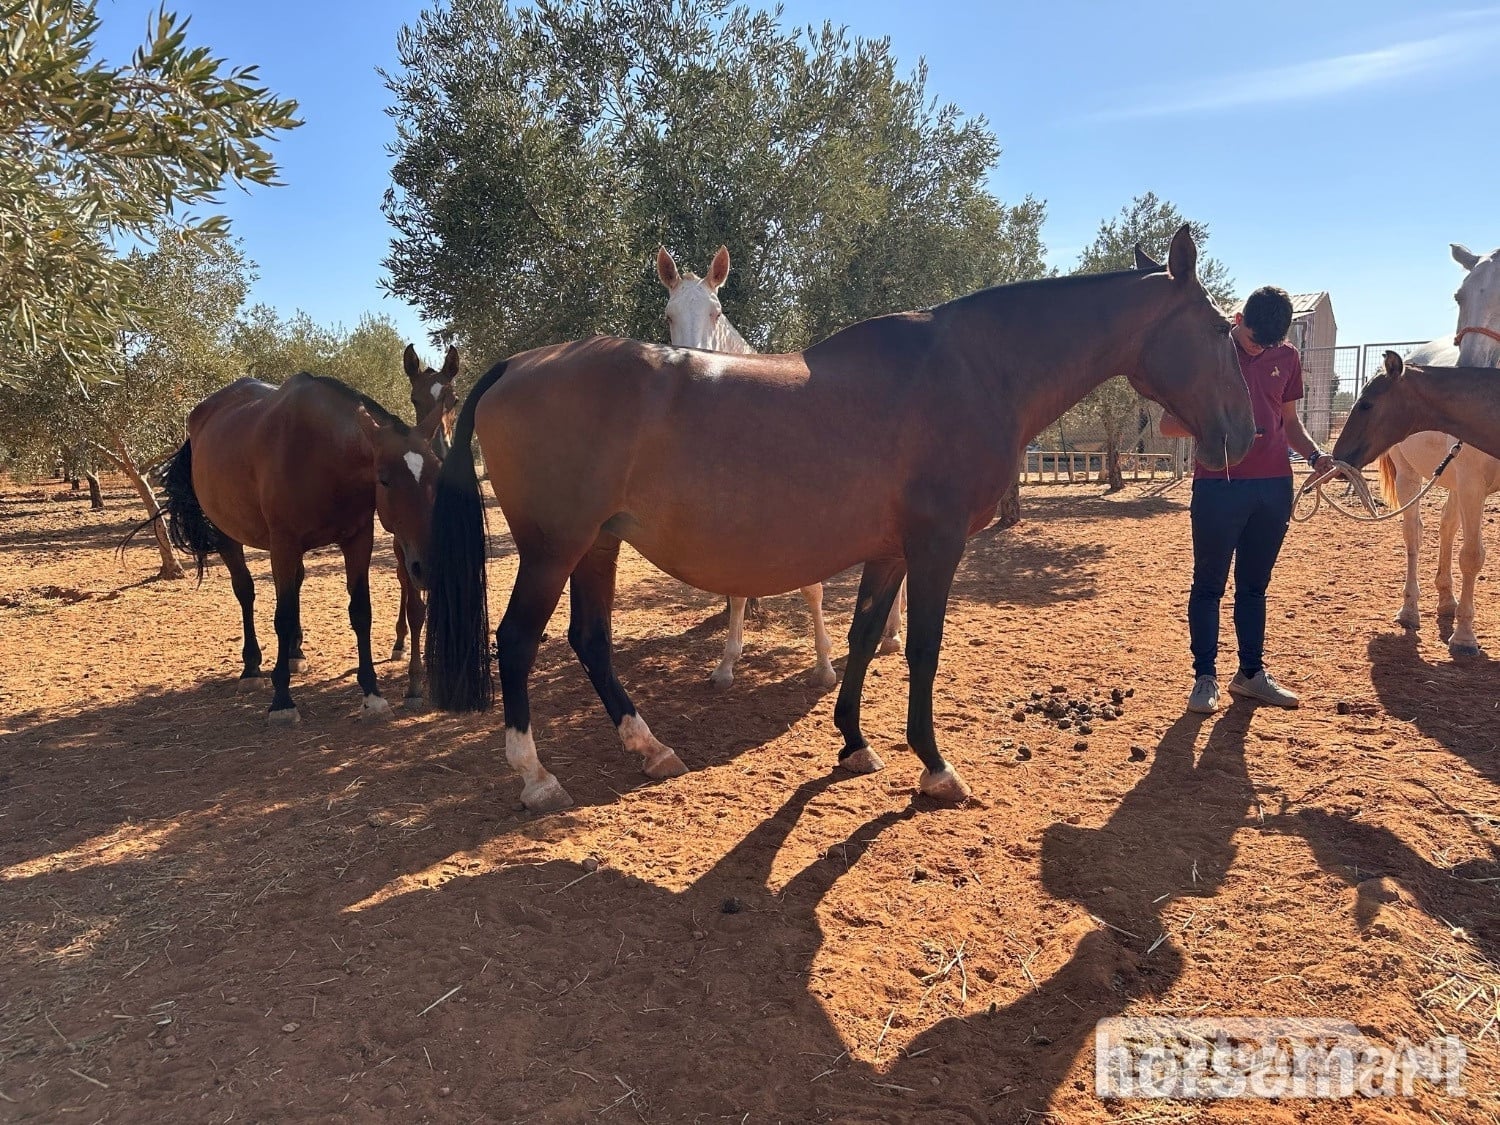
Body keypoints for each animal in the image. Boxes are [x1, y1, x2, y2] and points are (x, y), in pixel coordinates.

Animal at [158, 373, 449, 722]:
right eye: (384, 479)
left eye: (436, 474)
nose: (428, 566)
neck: (322, 453)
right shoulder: (283, 542)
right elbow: (282, 616)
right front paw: (282, 700)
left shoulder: (357, 538)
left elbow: (360, 612)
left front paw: (372, 694)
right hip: (229, 535)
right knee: (245, 592)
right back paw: (251, 669)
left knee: (294, 586)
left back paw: (294, 654)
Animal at [656, 244, 905, 688]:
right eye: (669, 315)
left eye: (716, 312)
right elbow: (737, 590)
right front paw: (726, 665)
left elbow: (812, 589)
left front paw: (824, 667)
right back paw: (891, 632)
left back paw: (893, 636)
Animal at [1373, 244, 1500, 653]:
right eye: (1459, 296)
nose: (1468, 375)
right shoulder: (1473, 481)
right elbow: (1473, 555)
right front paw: (1464, 637)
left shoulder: (1470, 484)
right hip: (1414, 477)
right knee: (1414, 534)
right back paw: (1410, 611)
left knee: (1446, 527)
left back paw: (1447, 601)